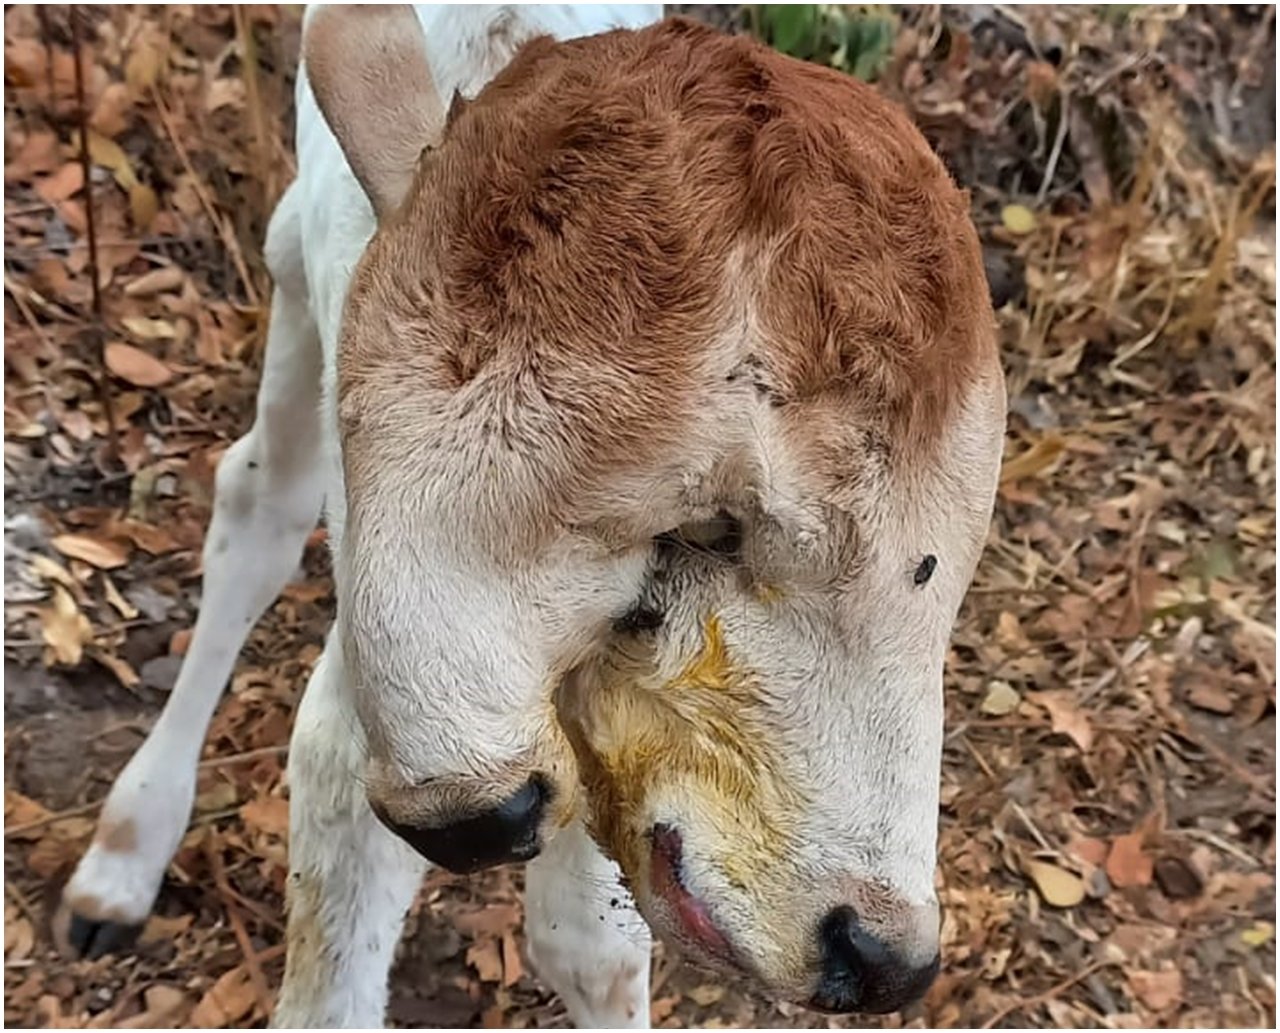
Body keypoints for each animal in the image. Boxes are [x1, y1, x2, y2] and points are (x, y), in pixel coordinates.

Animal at [52, 6, 1008, 1024]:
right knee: (254, 511)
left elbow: (591, 946)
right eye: (705, 528)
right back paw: (121, 860)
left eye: (937, 571)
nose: (876, 952)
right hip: (287, 280)